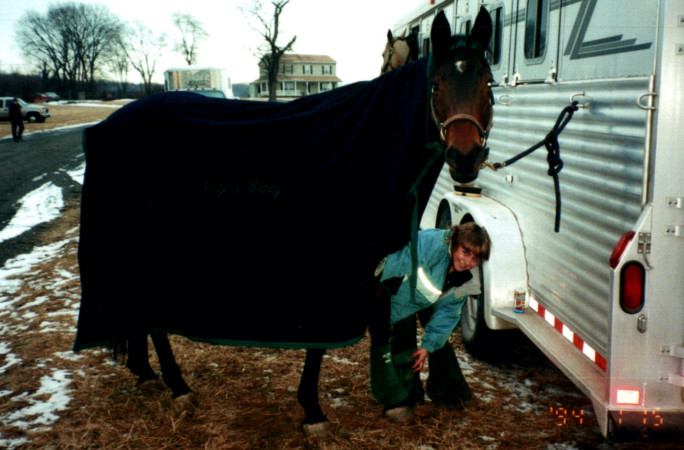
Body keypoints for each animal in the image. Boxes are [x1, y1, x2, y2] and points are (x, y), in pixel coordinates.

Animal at [74, 8, 493, 435]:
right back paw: (178, 388)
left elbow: (380, 321)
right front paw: (314, 411)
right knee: (153, 322)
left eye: (488, 82)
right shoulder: (333, 270)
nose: (465, 157)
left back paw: (146, 373)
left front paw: (396, 399)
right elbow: (323, 343)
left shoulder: (382, 260)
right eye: (437, 84)